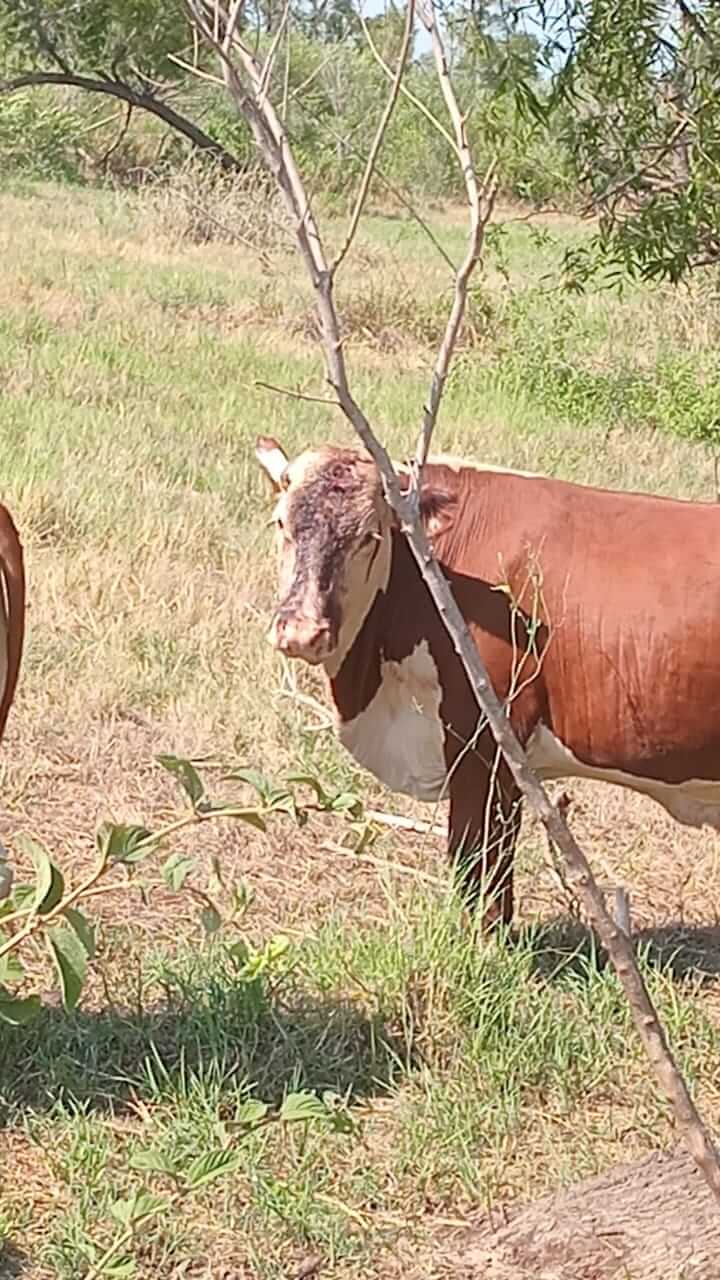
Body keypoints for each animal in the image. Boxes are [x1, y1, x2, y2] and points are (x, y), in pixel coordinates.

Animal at [255, 434, 720, 930]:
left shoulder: (485, 742)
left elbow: (479, 860)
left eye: (368, 536)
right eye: (281, 522)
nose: (301, 631)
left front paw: (481, 938)